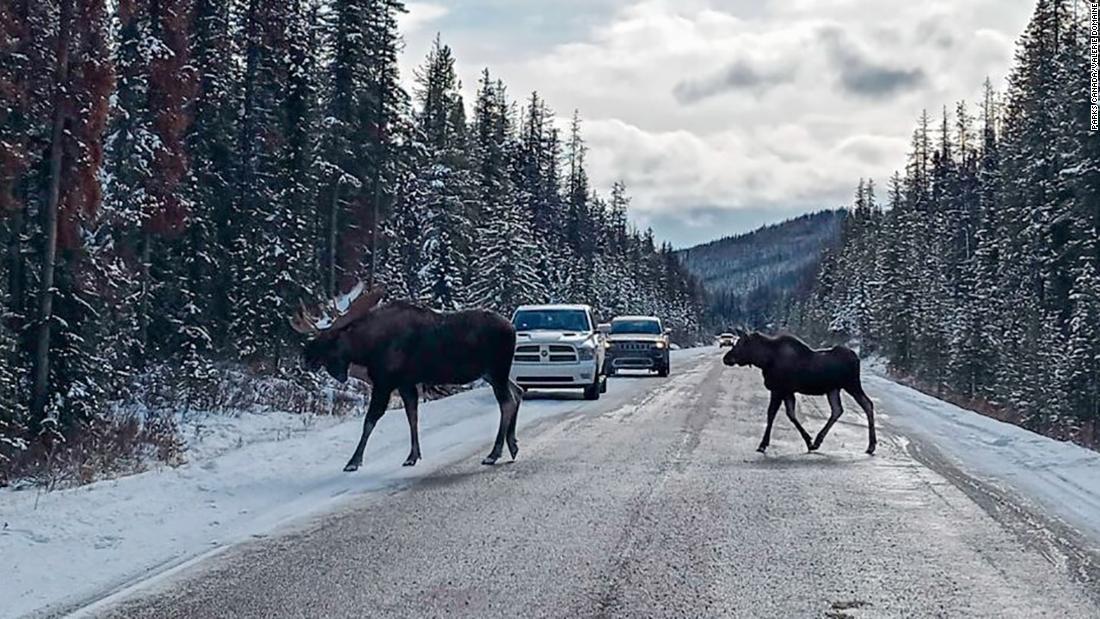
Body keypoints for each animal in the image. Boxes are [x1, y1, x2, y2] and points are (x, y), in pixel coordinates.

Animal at [292, 283, 523, 470]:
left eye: (329, 338)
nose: (304, 357)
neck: (366, 350)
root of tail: (512, 328)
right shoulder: (406, 383)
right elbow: (412, 415)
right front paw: (413, 456)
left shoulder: (384, 382)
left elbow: (370, 420)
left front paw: (353, 461)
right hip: (493, 373)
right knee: (517, 391)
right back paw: (512, 445)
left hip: (496, 370)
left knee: (507, 402)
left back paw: (494, 453)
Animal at [721, 329, 875, 455]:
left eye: (740, 344)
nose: (726, 358)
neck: (764, 360)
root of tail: (857, 358)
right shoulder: (787, 392)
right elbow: (791, 414)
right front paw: (809, 441)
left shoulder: (778, 390)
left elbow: (771, 414)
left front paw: (763, 444)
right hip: (833, 389)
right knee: (838, 410)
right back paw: (818, 441)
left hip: (852, 384)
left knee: (867, 404)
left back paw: (871, 446)